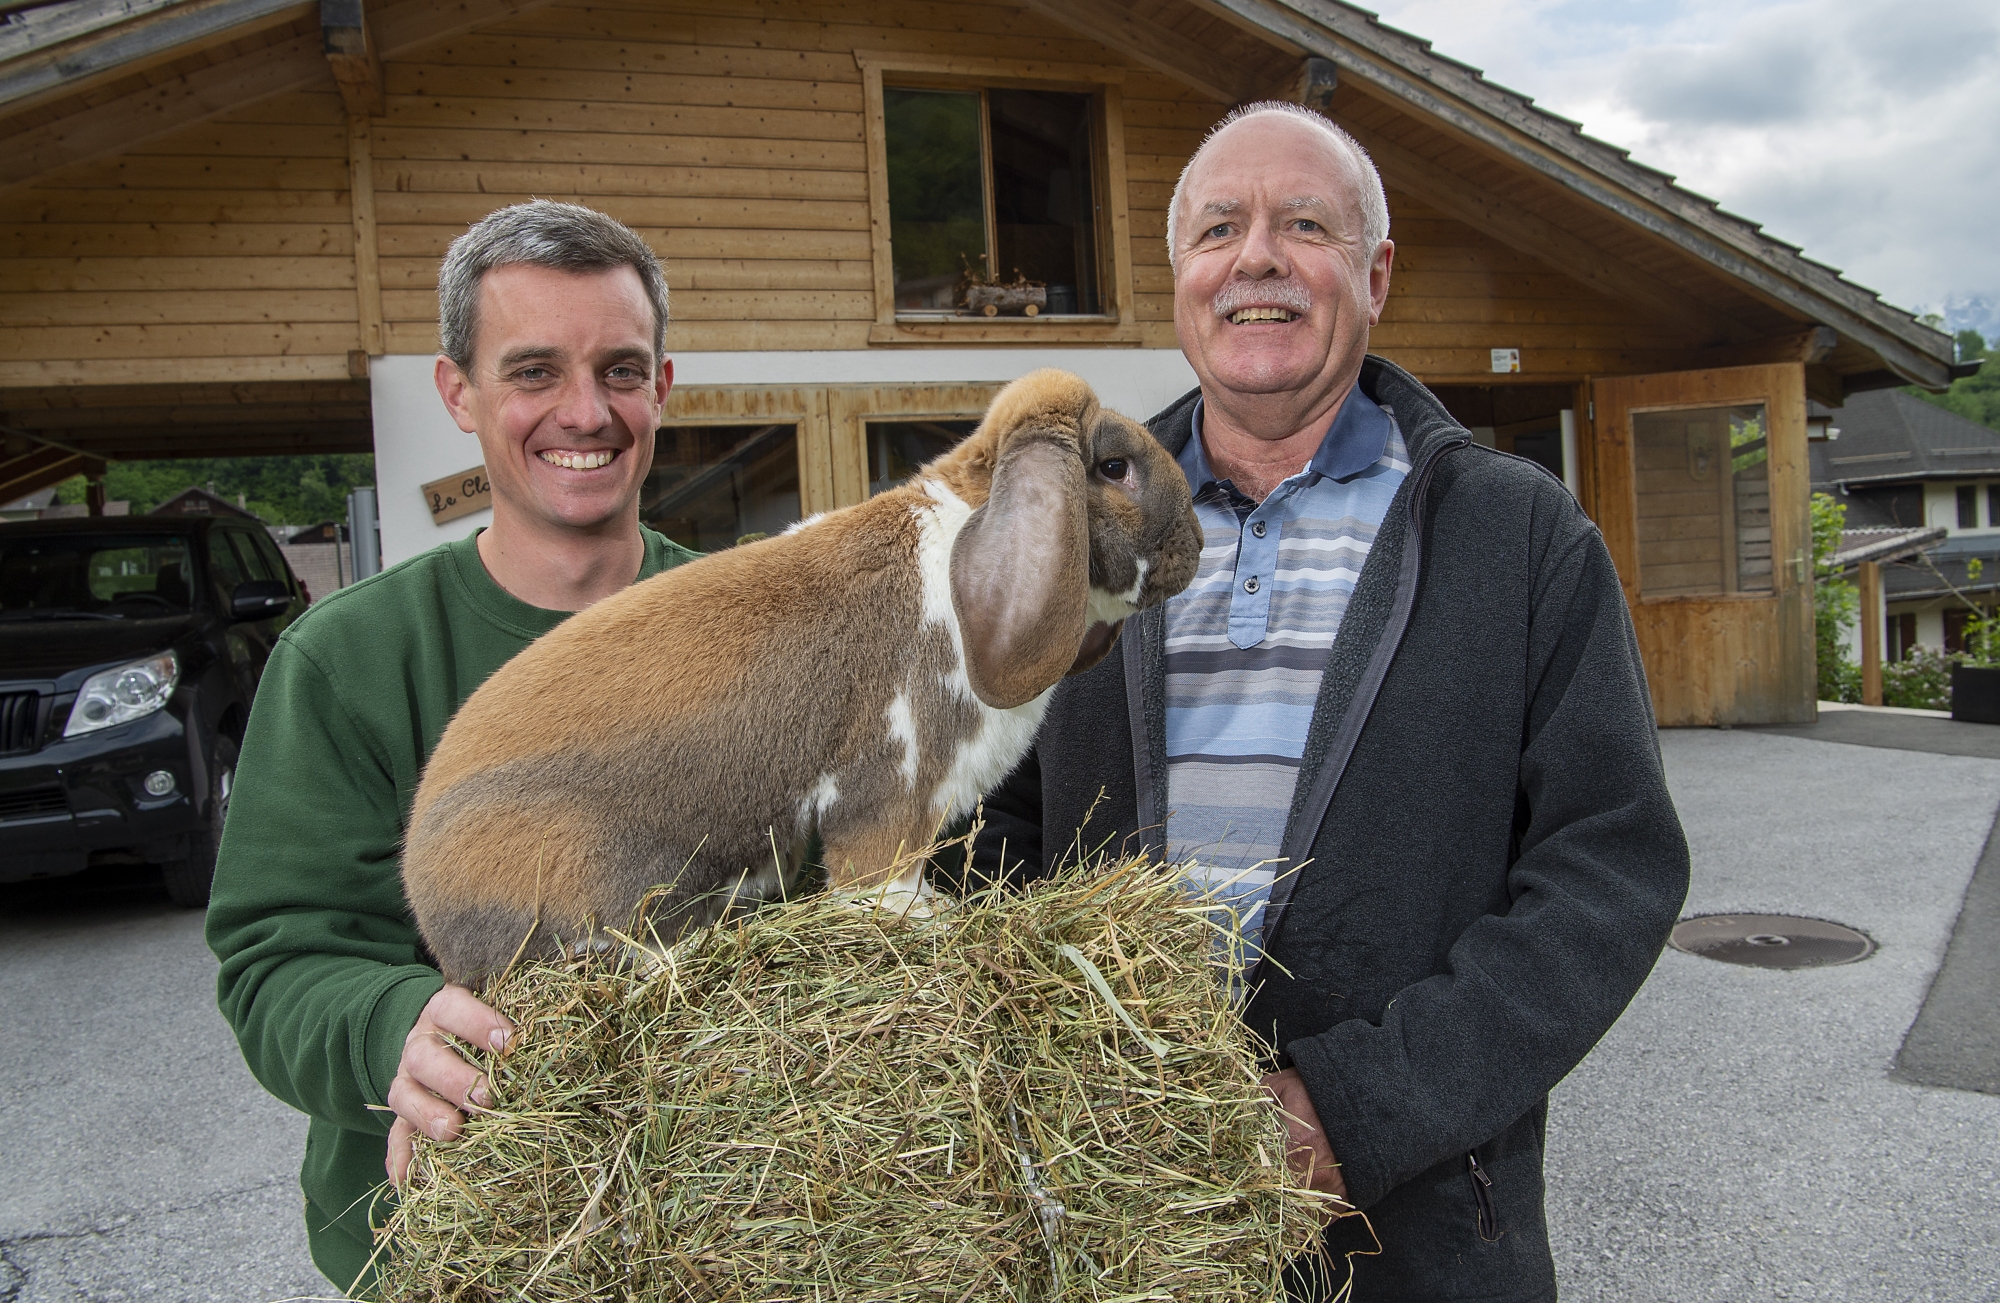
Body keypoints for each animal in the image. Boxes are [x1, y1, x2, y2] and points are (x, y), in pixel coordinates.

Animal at [398, 371, 1192, 983]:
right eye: (1113, 468)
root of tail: (426, 892)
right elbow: (879, 871)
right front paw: (921, 920)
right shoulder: (894, 781)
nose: (1195, 543)